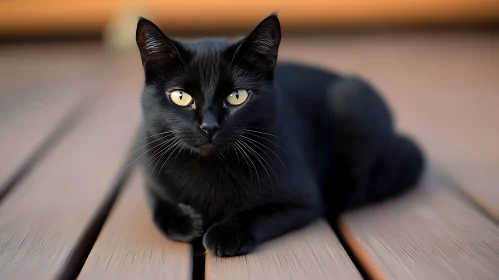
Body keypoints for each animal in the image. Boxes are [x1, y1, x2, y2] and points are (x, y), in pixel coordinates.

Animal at [135, 14, 424, 258]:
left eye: (237, 96)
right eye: (180, 97)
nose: (209, 126)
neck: (210, 168)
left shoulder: (304, 200)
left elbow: (257, 213)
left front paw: (225, 233)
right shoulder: (151, 174)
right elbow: (159, 208)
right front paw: (187, 223)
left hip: (351, 99)